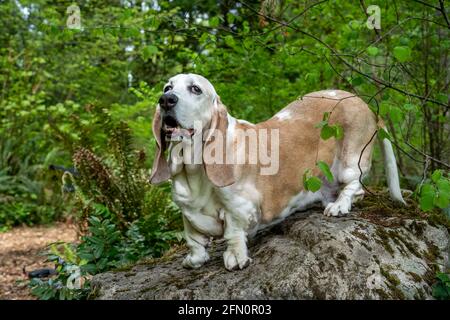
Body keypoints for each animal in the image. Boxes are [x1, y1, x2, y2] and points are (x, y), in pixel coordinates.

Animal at [149, 74, 404, 272]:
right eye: (168, 87)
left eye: (195, 89)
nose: (166, 100)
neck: (192, 170)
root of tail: (364, 104)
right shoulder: (188, 213)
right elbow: (193, 239)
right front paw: (194, 259)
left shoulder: (240, 209)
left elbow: (233, 233)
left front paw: (236, 257)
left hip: (351, 161)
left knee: (355, 186)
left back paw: (339, 205)